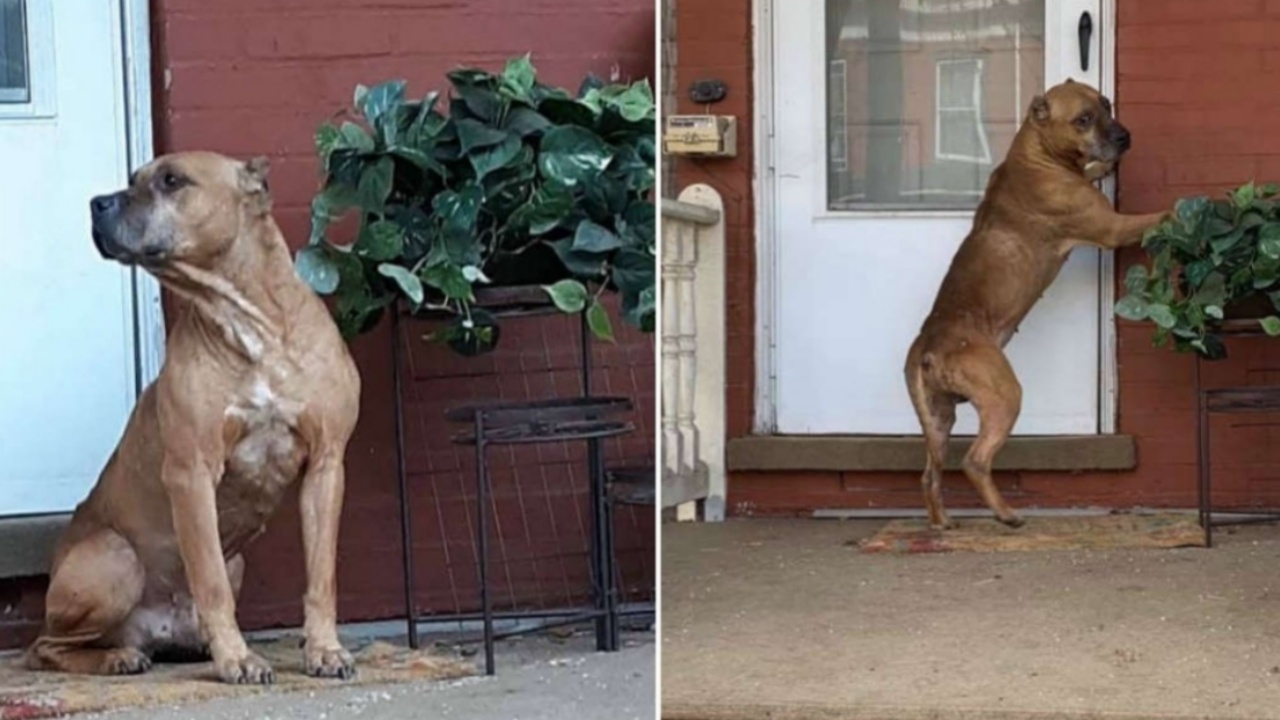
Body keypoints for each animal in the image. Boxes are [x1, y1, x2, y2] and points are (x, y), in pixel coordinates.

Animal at [26, 152, 366, 681]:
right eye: (134, 180)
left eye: (171, 180)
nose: (97, 203)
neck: (251, 325)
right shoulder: (192, 471)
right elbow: (209, 581)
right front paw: (237, 658)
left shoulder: (326, 465)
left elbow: (321, 575)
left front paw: (324, 649)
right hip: (115, 558)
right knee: (45, 647)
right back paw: (118, 657)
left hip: (237, 560)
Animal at [901, 79, 1172, 527]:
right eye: (1083, 119)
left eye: (1107, 104)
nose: (1124, 137)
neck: (1037, 153)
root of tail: (929, 345)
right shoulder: (1114, 228)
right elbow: (1161, 215)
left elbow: (1093, 172)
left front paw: (1101, 169)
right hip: (1003, 397)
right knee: (975, 460)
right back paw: (1007, 515)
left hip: (937, 418)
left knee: (929, 474)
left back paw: (942, 523)